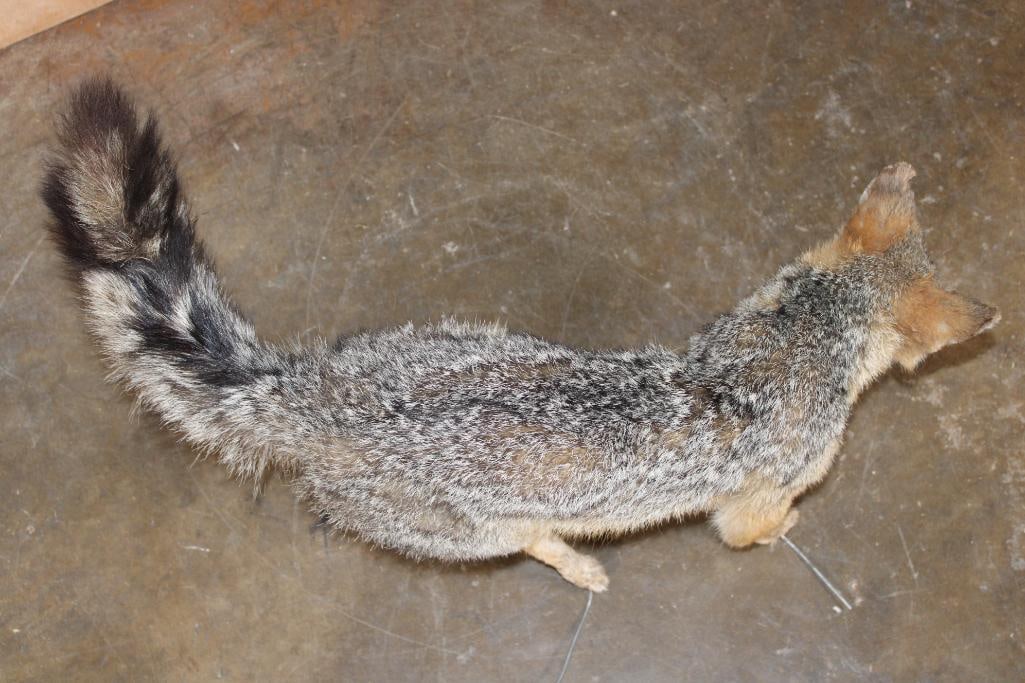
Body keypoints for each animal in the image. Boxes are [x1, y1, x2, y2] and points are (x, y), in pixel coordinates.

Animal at [42, 79, 999, 592]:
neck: (804, 333)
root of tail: (308, 393)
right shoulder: (748, 503)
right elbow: (763, 524)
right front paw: (793, 527)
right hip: (480, 535)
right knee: (530, 540)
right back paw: (578, 563)